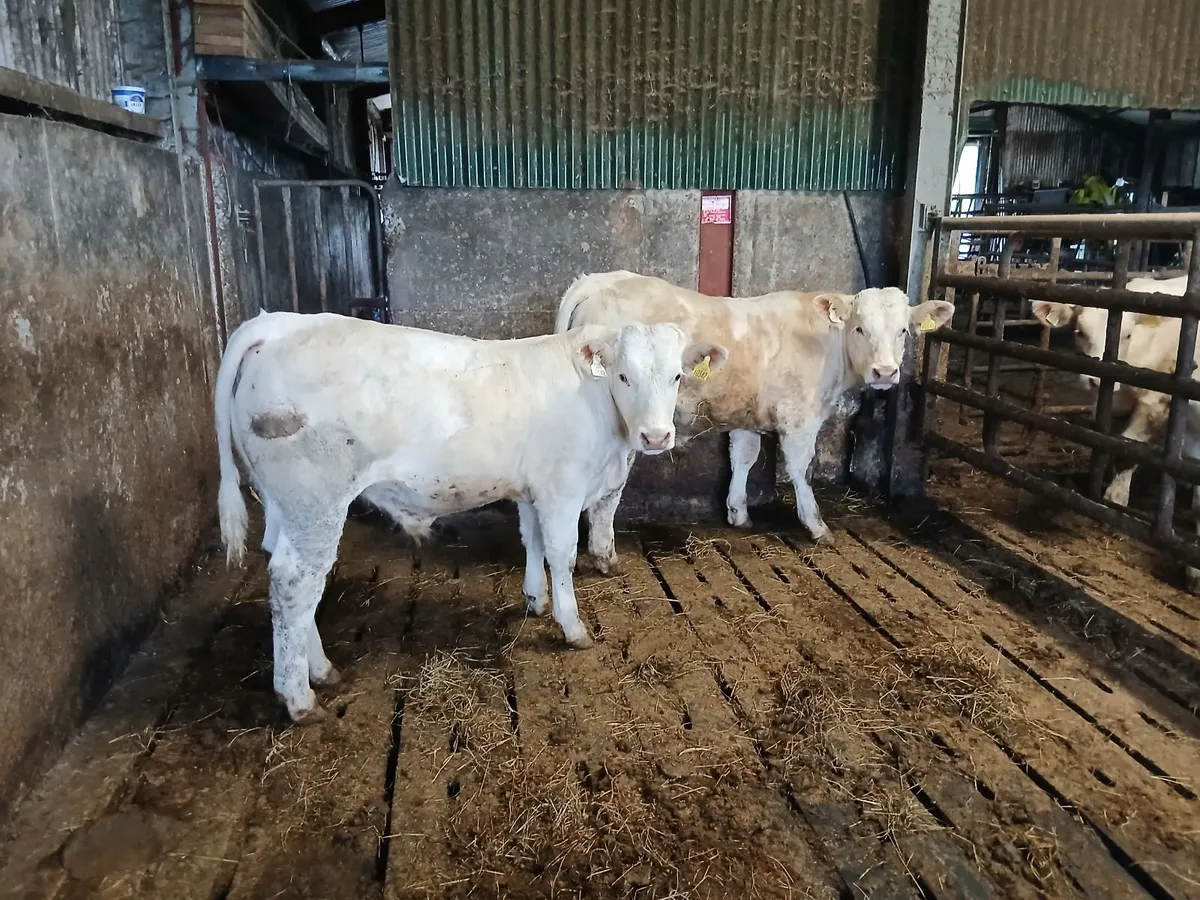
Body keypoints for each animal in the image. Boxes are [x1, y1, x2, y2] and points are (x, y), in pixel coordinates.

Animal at [214, 310, 727, 723]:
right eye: (623, 376)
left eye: (677, 376)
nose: (656, 436)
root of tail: (281, 322)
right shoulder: (561, 487)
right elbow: (561, 553)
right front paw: (572, 625)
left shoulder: (531, 488)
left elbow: (531, 540)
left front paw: (535, 600)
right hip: (316, 499)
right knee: (296, 583)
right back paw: (299, 697)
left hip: (285, 505)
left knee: (289, 576)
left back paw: (319, 668)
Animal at [553, 271, 954, 548]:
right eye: (859, 329)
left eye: (903, 330)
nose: (884, 372)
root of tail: (603, 279)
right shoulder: (800, 418)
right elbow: (801, 468)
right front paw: (816, 525)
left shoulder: (746, 415)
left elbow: (743, 458)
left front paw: (738, 511)